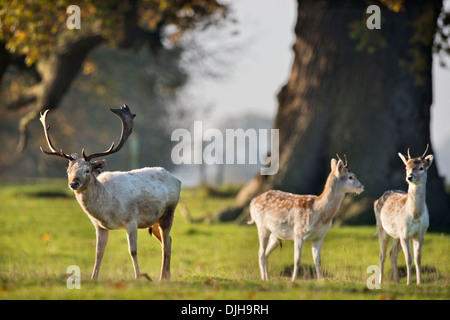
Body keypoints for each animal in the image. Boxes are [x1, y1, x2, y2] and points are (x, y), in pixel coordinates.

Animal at [38, 105, 179, 280]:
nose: (73, 183)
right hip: (153, 221)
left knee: (166, 244)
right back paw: (167, 276)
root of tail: (177, 180)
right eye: (68, 170)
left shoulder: (131, 220)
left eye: (87, 170)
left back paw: (161, 277)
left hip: (168, 212)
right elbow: (98, 253)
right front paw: (94, 277)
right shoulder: (99, 226)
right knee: (169, 240)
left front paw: (138, 277)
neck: (108, 210)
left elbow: (133, 251)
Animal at [372, 145, 432, 284]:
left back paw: (397, 282)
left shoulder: (420, 234)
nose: (410, 177)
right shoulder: (404, 233)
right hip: (382, 228)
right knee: (382, 254)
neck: (415, 215)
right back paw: (381, 281)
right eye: (406, 167)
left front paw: (419, 282)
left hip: (396, 235)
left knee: (392, 253)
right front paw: (409, 282)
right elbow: (408, 258)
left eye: (421, 167)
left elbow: (418, 259)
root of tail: (378, 199)